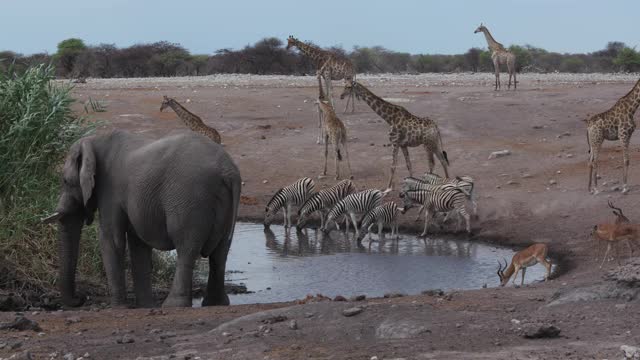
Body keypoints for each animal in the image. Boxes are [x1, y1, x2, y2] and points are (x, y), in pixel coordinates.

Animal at [42, 131, 241, 308]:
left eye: (65, 181)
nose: (80, 299)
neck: (94, 139)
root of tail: (228, 171)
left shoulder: (110, 190)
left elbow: (111, 239)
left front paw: (118, 308)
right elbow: (138, 244)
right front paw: (145, 306)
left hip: (190, 199)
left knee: (187, 247)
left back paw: (173, 305)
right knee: (221, 251)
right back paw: (215, 303)